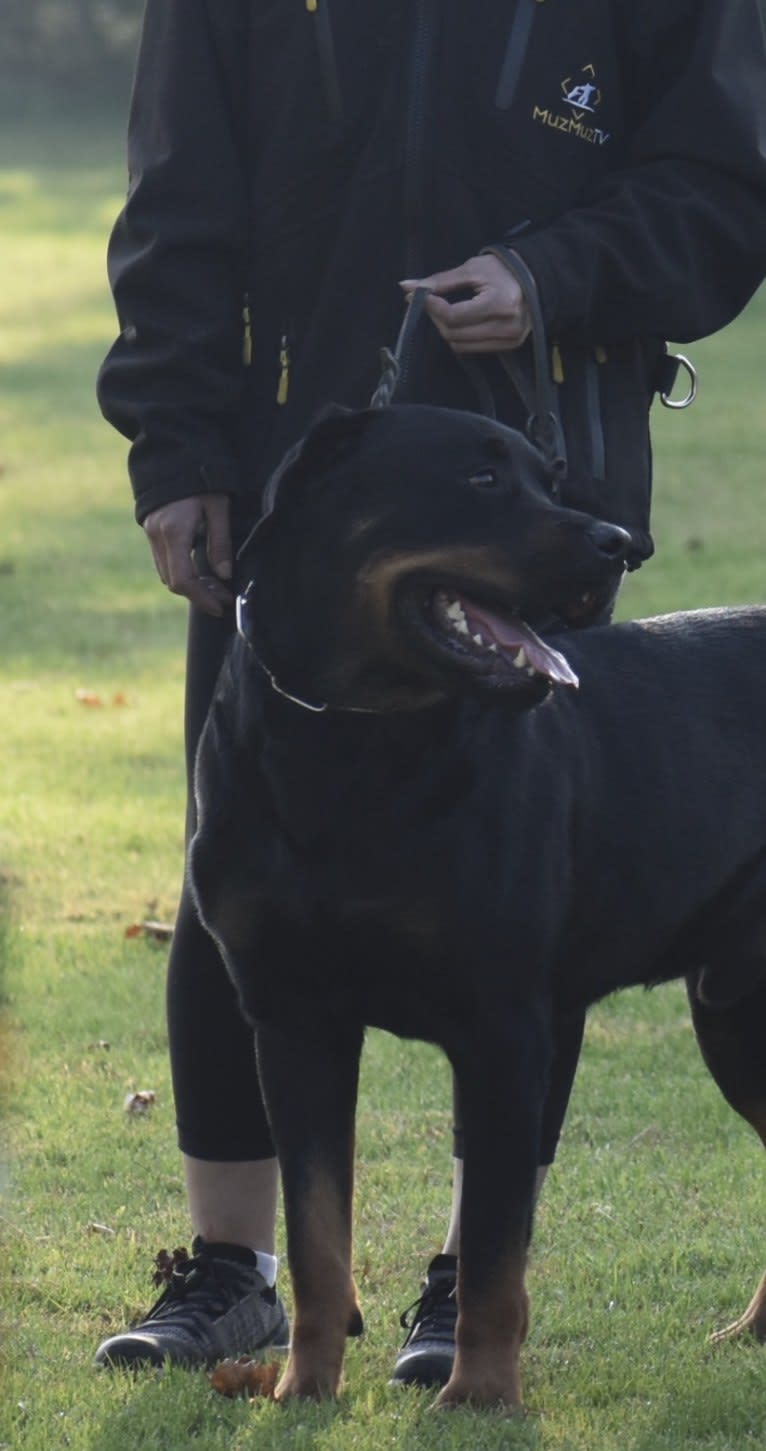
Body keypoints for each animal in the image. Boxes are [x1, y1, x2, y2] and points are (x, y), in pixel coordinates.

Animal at [190, 406, 766, 1404]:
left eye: (554, 477)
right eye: (483, 479)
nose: (622, 543)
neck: (351, 749)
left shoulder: (506, 1027)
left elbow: (495, 1246)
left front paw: (481, 1393)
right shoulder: (293, 1020)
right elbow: (314, 1232)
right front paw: (305, 1387)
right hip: (735, 1011)